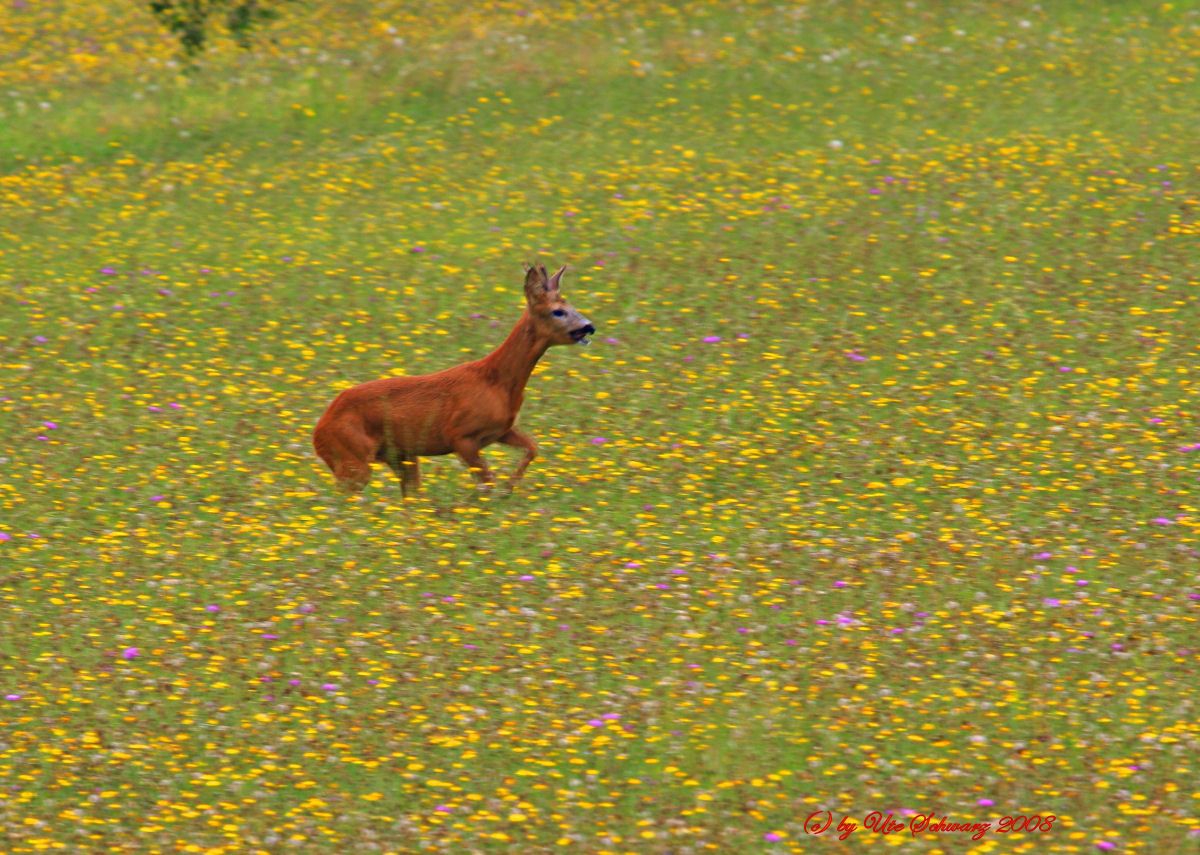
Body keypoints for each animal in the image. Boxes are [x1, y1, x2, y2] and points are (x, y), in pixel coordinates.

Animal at [309, 264, 590, 497]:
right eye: (558, 311)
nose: (589, 327)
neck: (497, 382)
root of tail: (318, 430)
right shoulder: (460, 435)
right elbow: (487, 482)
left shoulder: (502, 429)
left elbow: (532, 448)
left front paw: (509, 489)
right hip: (352, 456)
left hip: (399, 456)